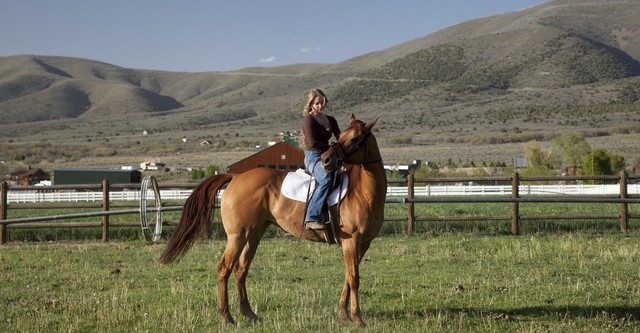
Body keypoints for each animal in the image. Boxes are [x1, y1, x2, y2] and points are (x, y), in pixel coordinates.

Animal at [162, 114, 388, 326]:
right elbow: (354, 278)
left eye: (355, 138)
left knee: (241, 270)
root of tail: (235, 178)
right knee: (224, 268)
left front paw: (344, 314)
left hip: (254, 234)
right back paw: (227, 317)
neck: (362, 193)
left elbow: (348, 278)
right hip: (237, 235)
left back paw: (250, 314)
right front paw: (358, 319)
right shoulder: (351, 242)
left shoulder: (363, 244)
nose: (327, 161)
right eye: (340, 137)